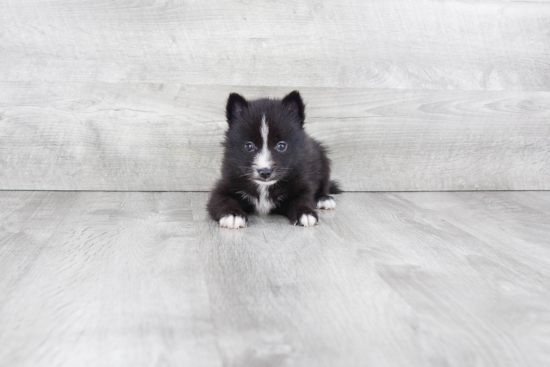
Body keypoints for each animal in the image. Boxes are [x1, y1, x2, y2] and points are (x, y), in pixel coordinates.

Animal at [209, 90, 342, 229]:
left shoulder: (301, 184)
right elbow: (222, 200)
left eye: (281, 146)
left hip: (322, 159)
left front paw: (305, 212)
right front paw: (233, 215)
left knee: (324, 182)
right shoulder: (225, 185)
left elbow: (302, 199)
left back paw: (324, 199)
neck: (264, 187)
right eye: (249, 146)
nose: (265, 172)